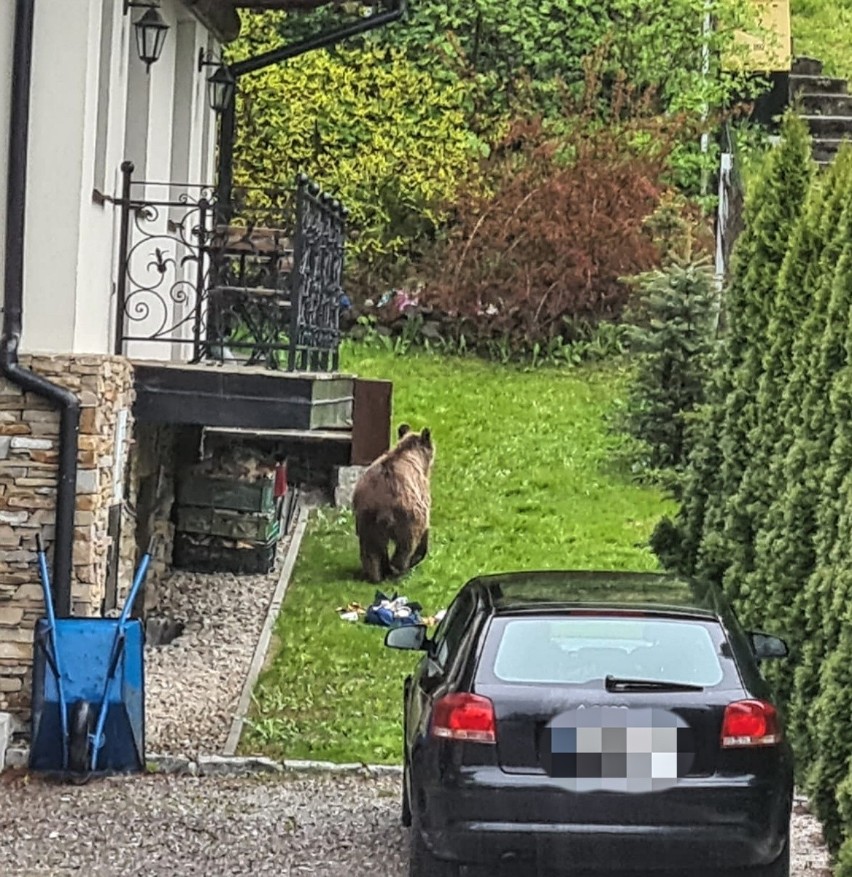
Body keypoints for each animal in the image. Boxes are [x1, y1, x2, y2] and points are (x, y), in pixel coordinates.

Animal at [352, 422, 436, 580]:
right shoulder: (421, 494)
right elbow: (424, 528)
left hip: (367, 518)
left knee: (371, 549)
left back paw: (376, 574)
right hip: (406, 516)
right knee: (405, 546)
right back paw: (400, 569)